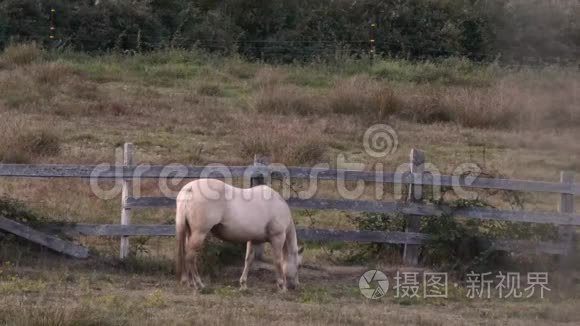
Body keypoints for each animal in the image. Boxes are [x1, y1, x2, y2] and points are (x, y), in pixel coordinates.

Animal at [176, 180, 304, 292]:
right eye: (299, 265)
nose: (296, 285)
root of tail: (190, 188)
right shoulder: (277, 238)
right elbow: (278, 261)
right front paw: (282, 287)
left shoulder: (254, 240)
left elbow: (248, 260)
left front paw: (243, 285)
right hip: (199, 234)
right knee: (190, 257)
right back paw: (199, 284)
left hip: (189, 232)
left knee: (187, 255)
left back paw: (190, 283)